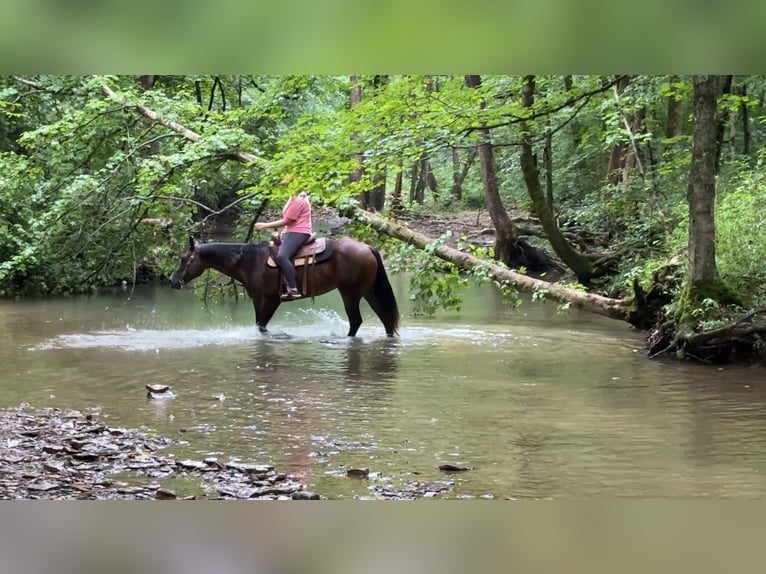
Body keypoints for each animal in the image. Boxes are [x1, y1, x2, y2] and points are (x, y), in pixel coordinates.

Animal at [169, 236, 400, 337]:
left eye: (183, 259)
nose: (171, 280)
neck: (250, 261)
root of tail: (367, 247)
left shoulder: (271, 300)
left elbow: (262, 325)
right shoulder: (258, 300)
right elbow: (259, 325)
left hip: (350, 293)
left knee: (356, 321)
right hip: (369, 292)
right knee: (385, 317)